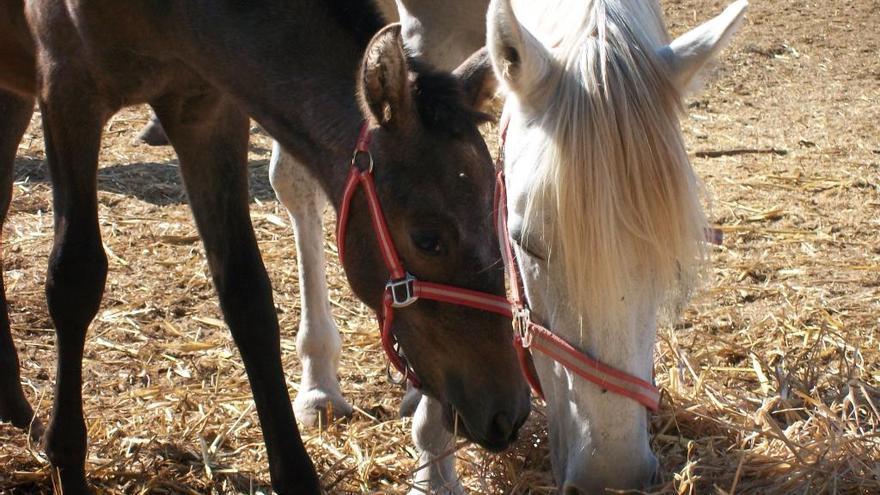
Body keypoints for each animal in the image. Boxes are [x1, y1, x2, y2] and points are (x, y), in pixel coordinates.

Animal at [0, 1, 528, 494]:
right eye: (428, 238)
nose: (511, 410)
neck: (170, 14)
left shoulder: (206, 109)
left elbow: (247, 296)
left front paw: (296, 474)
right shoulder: (67, 94)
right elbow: (75, 278)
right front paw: (65, 457)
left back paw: (16, 406)